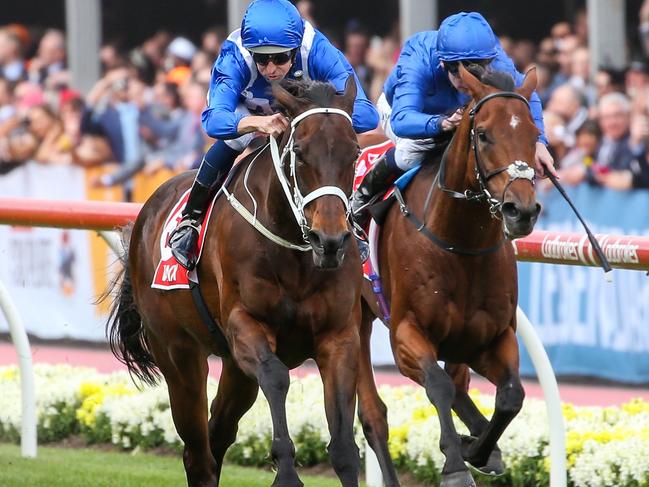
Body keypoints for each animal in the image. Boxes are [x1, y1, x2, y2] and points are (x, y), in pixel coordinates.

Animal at [109, 78, 368, 486]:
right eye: (299, 153)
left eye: (354, 152)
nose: (330, 241)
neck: (295, 252)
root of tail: (145, 214)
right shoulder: (245, 324)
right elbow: (276, 377)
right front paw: (286, 471)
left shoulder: (339, 336)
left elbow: (343, 445)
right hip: (178, 355)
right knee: (198, 451)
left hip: (234, 368)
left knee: (217, 435)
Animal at [354, 65, 540, 487]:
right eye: (483, 134)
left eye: (534, 134)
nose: (521, 211)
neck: (460, 243)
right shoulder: (406, 333)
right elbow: (438, 386)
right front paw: (455, 464)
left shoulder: (492, 337)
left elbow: (511, 395)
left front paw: (479, 449)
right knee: (373, 416)